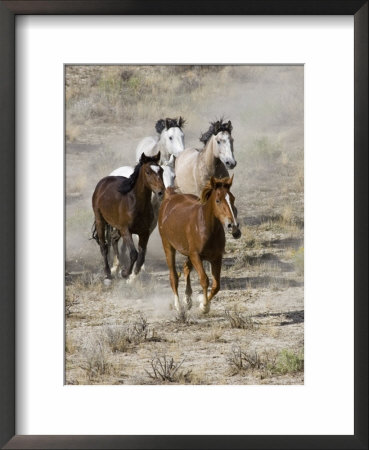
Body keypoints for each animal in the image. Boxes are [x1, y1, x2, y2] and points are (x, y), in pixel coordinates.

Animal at [92, 153, 164, 284]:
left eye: (161, 170)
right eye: (148, 172)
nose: (161, 192)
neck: (136, 204)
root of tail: (103, 182)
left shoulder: (144, 233)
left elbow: (141, 256)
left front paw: (132, 277)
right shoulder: (126, 230)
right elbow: (134, 253)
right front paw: (125, 273)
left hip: (116, 227)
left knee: (113, 239)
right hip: (101, 220)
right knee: (104, 246)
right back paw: (108, 274)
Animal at [157, 174, 240, 314]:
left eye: (232, 198)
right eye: (218, 200)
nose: (232, 226)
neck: (206, 227)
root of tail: (170, 197)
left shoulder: (216, 257)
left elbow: (216, 285)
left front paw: (202, 303)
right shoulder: (196, 255)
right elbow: (204, 279)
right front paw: (204, 306)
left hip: (187, 253)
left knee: (186, 267)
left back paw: (187, 300)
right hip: (168, 246)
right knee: (173, 277)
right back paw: (179, 307)